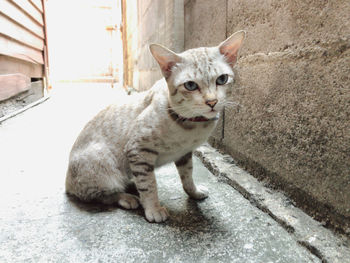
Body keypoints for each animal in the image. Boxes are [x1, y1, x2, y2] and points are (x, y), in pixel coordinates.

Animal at [66, 30, 246, 223]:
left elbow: (187, 176)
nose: (212, 102)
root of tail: (67, 182)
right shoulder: (138, 150)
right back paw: (127, 197)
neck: (192, 127)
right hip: (101, 165)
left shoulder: (184, 153)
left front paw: (194, 192)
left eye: (222, 79)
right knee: (99, 194)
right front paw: (153, 208)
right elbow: (149, 184)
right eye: (190, 85)